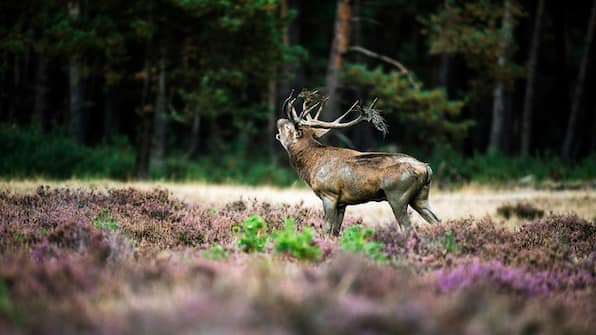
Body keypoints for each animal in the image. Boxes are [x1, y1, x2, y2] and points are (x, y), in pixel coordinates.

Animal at [278, 90, 440, 236]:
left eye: (288, 127)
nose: (279, 120)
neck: (311, 165)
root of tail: (426, 169)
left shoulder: (329, 194)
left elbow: (326, 229)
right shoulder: (342, 203)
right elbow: (336, 231)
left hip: (397, 195)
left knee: (407, 227)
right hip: (421, 197)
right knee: (437, 221)